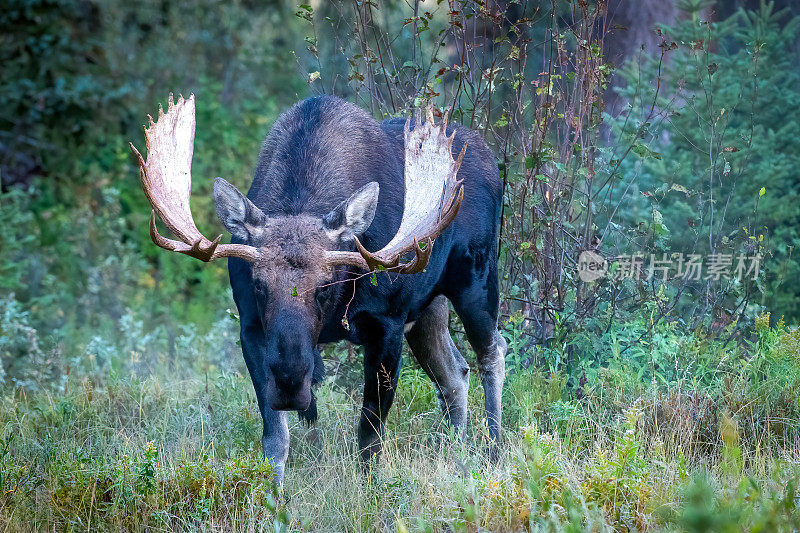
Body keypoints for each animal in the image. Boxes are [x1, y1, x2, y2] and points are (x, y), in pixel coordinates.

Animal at [131, 93, 506, 480]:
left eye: (326, 286)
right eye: (259, 285)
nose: (290, 381)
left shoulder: (387, 323)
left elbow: (370, 436)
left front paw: (369, 490)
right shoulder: (251, 327)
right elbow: (275, 440)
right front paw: (274, 493)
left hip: (476, 280)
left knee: (492, 352)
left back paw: (494, 450)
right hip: (428, 307)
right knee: (454, 373)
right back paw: (457, 456)